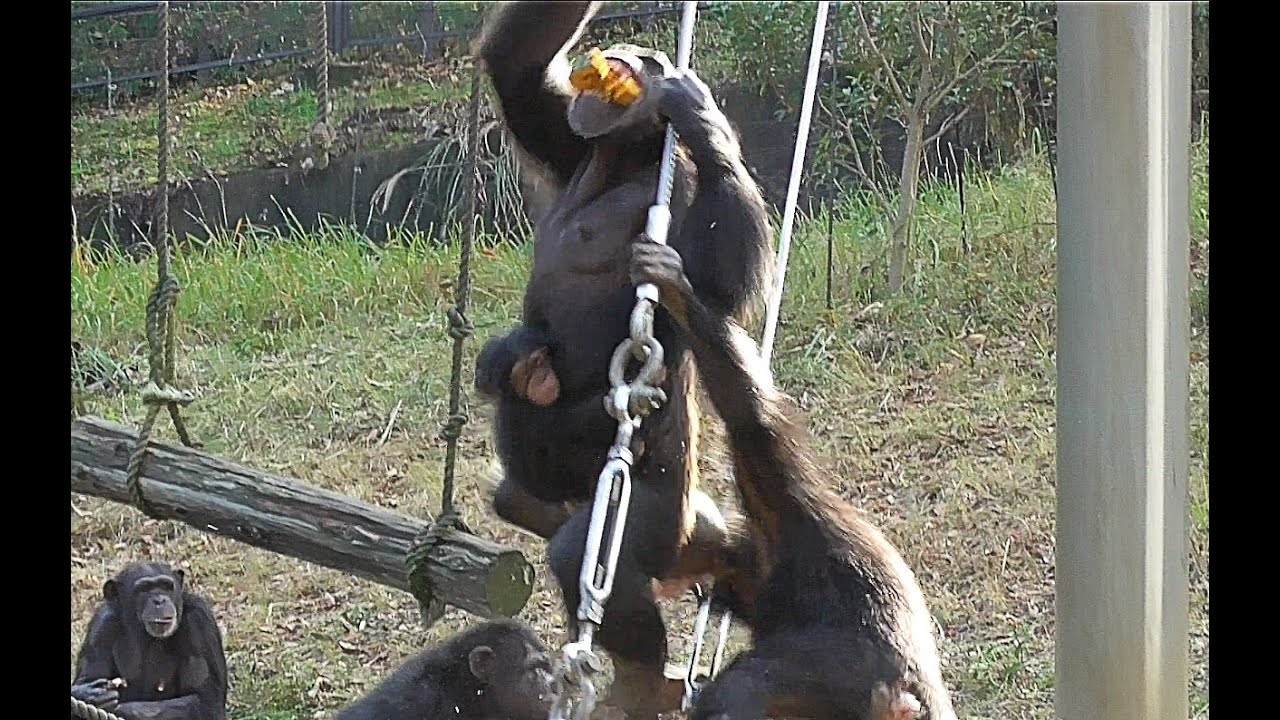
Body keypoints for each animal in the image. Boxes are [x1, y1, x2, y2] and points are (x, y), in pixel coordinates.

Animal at [70, 562, 228, 720]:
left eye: (166, 586)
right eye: (143, 589)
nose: (159, 600)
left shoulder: (199, 621)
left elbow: (205, 700)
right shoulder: (101, 627)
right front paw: (87, 694)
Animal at [629, 237, 958, 720]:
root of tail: (912, 698)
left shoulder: (774, 496)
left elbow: (748, 414)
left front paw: (675, 290)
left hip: (851, 680)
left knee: (746, 687)